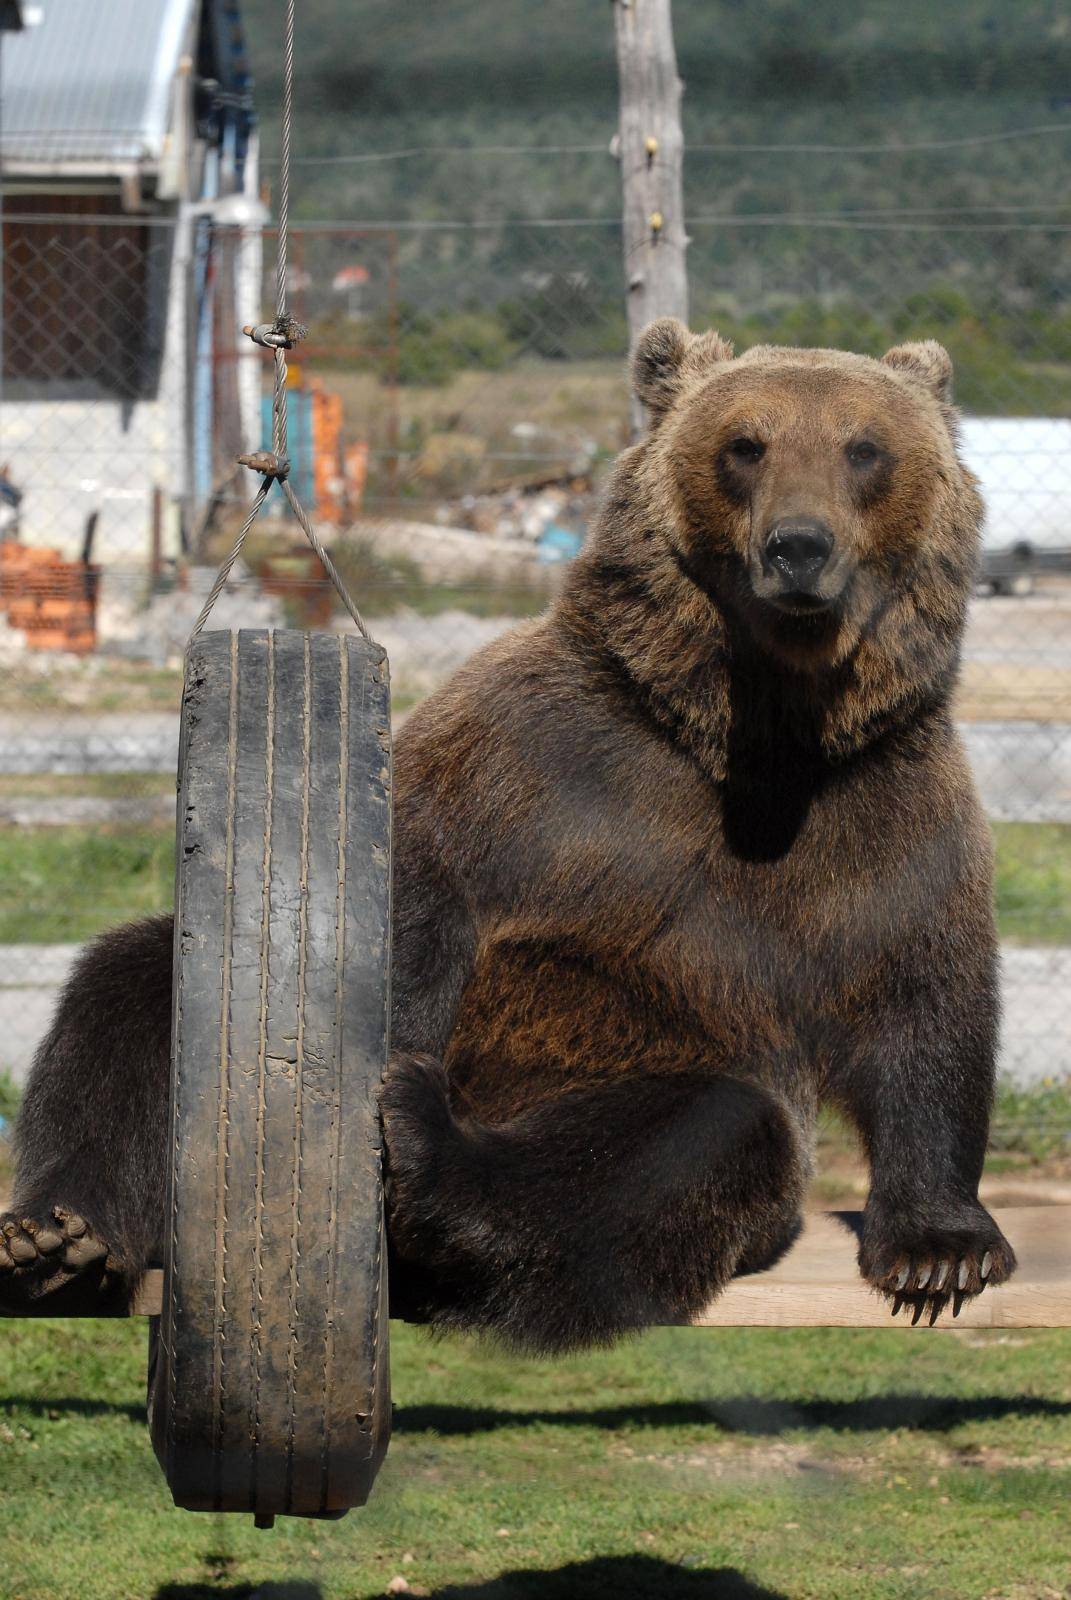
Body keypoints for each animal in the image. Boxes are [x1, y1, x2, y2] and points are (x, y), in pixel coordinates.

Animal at [0, 324, 1018, 1350]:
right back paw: (62, 1231)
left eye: (863, 447)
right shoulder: (533, 758)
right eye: (745, 443)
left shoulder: (883, 803)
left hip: (642, 1071)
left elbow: (923, 1000)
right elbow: (408, 898)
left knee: (682, 1143)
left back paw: (429, 1157)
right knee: (131, 984)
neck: (750, 728)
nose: (797, 546)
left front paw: (941, 1249)